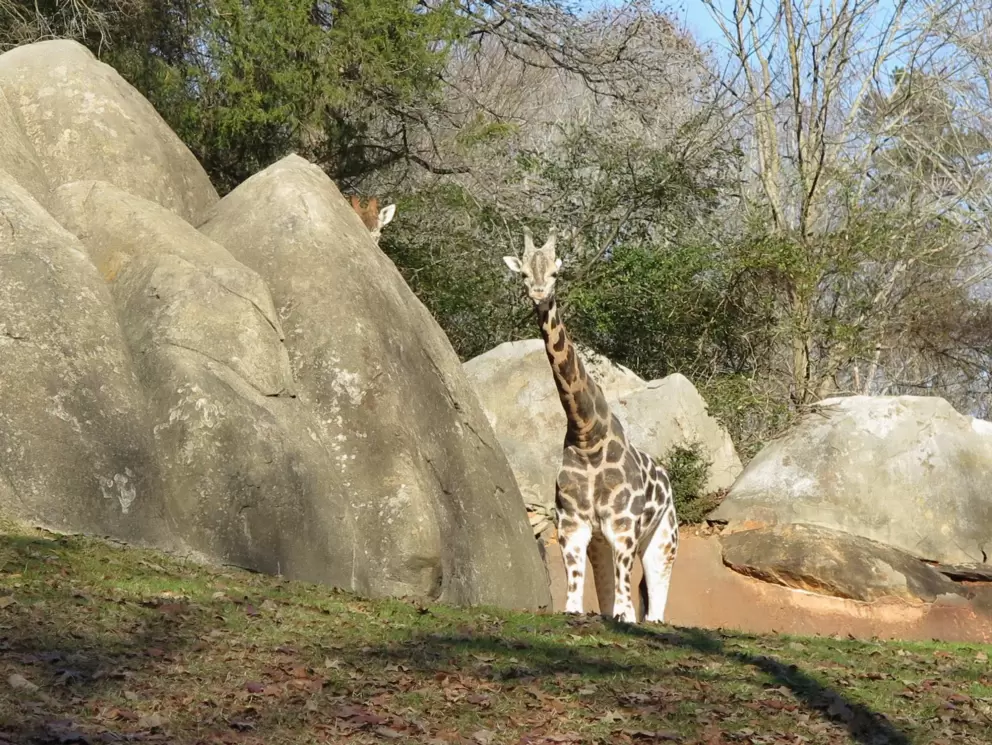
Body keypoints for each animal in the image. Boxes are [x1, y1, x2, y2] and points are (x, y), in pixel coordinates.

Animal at [503, 227, 679, 623]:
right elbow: (575, 593)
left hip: (664, 536)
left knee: (655, 597)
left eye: (556, 272)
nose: (539, 294)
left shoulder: (623, 525)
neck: (587, 436)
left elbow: (625, 599)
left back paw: (652, 619)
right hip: (602, 540)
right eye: (524, 274)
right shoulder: (573, 524)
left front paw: (626, 618)